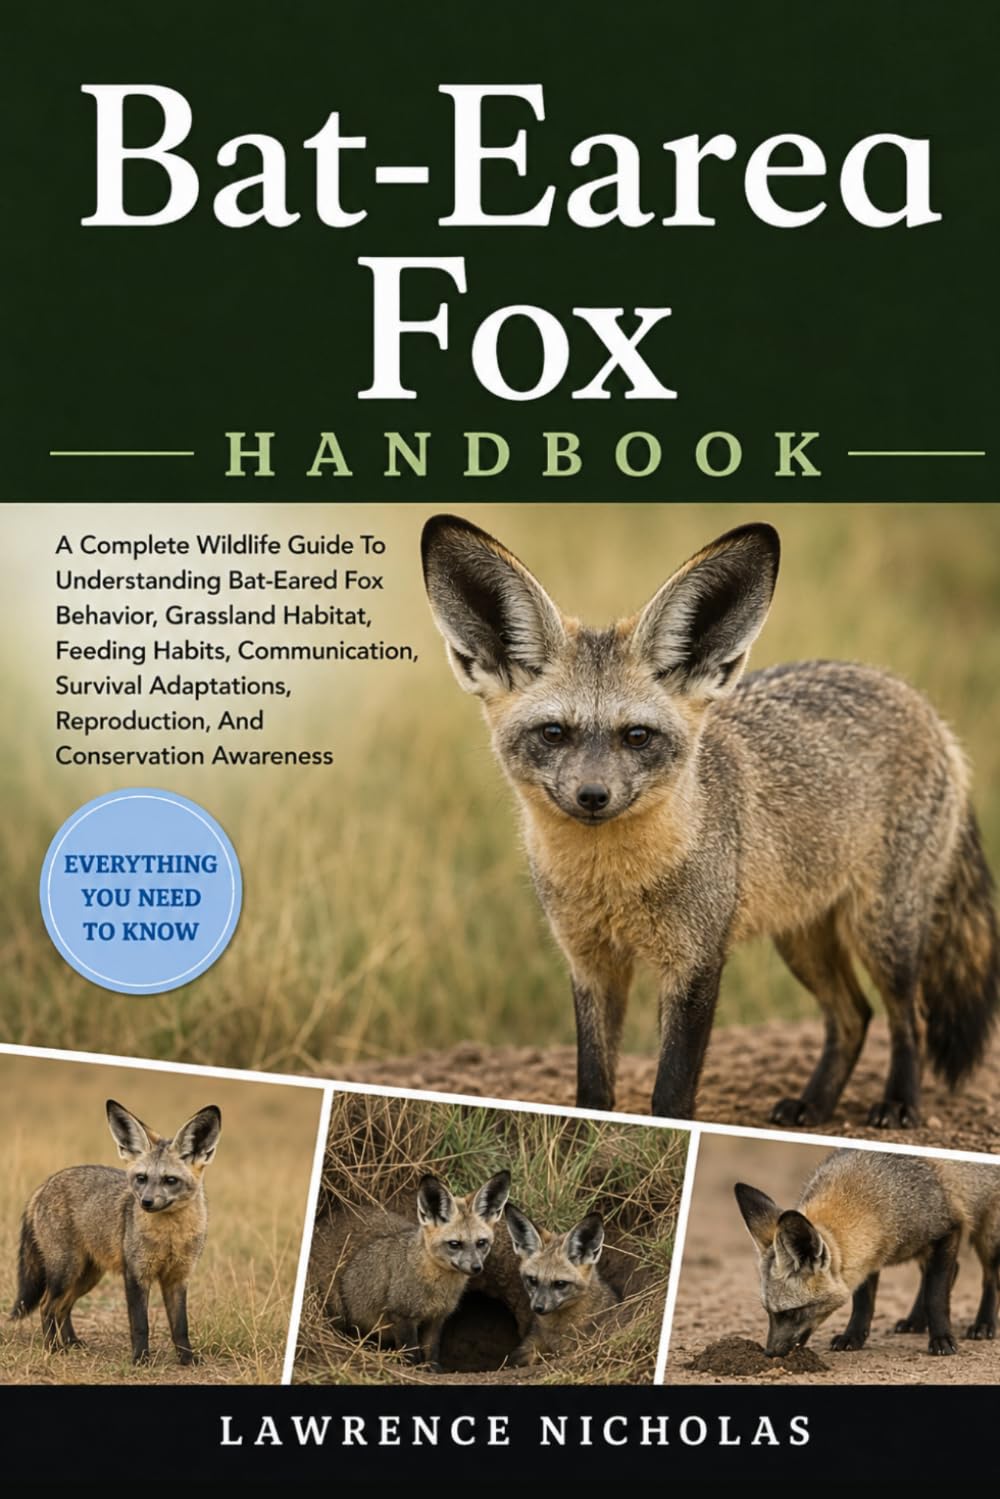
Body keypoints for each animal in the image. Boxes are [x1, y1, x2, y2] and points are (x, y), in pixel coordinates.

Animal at [10, 1098, 221, 1365]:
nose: (146, 1202)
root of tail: (45, 1184)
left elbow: (181, 1326)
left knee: (63, 1307)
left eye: (170, 1180)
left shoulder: (178, 1277)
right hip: (66, 1272)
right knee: (47, 1305)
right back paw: (53, 1348)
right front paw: (140, 1359)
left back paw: (71, 1342)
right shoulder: (136, 1274)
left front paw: (187, 1359)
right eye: (141, 1178)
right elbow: (140, 1325)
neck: (170, 1238)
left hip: (86, 1277)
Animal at [336, 1170, 510, 1370]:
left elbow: (432, 1350)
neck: (438, 1289)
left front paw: (434, 1370)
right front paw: (414, 1369)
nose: (476, 1267)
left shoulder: (436, 1319)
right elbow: (411, 1352)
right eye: (454, 1244)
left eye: (481, 1243)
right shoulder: (402, 1315)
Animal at [421, 513, 999, 1127]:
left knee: (906, 1016)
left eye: (637, 736)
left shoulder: (696, 963)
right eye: (554, 733)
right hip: (802, 939)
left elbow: (672, 1094)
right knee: (854, 1016)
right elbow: (594, 1088)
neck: (613, 884)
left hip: (883, 932)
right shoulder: (590, 962)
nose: (593, 796)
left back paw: (899, 1103)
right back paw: (815, 1104)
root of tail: (924, 705)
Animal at [735, 1149, 1000, 1358]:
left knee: (989, 1278)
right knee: (951, 1271)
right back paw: (915, 1321)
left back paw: (984, 1324)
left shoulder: (948, 1230)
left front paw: (942, 1338)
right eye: (768, 1313)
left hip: (986, 1236)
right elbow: (863, 1303)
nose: (769, 1353)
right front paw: (853, 1337)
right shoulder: (868, 1258)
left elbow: (935, 1297)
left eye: (791, 1312)